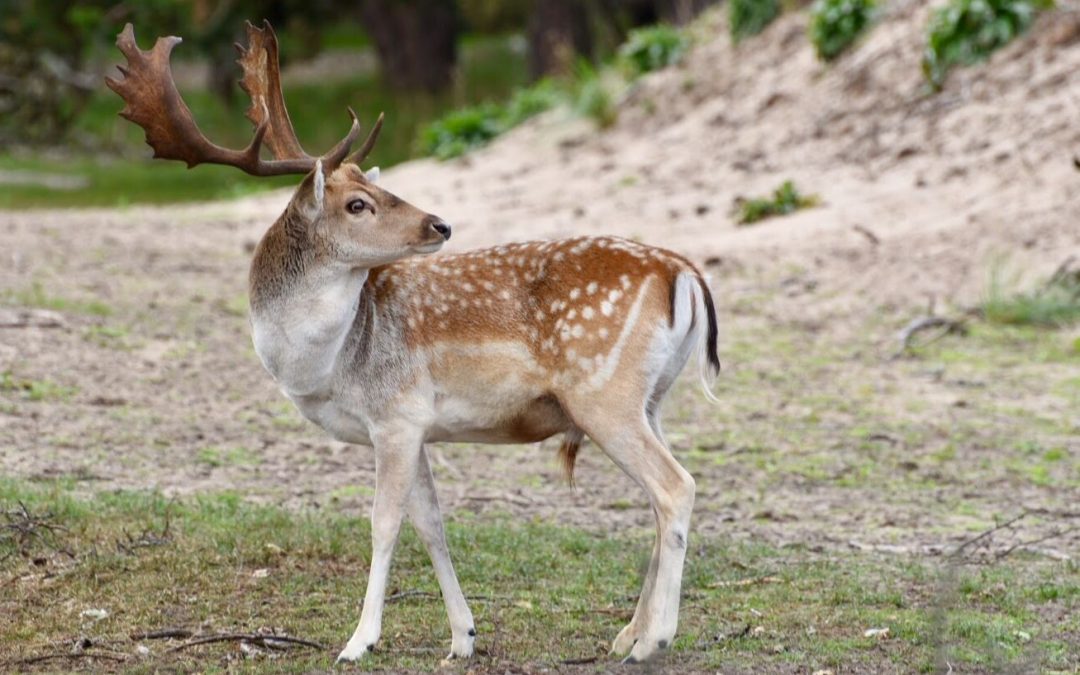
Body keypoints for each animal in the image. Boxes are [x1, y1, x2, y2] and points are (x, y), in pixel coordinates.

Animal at [107, 19, 717, 665]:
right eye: (359, 203)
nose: (440, 223)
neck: (328, 366)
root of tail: (685, 274)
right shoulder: (416, 423)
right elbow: (431, 522)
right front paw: (462, 636)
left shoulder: (394, 416)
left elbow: (384, 522)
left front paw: (358, 641)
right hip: (651, 399)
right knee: (660, 494)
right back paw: (627, 632)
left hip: (605, 394)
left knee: (675, 486)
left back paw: (653, 639)